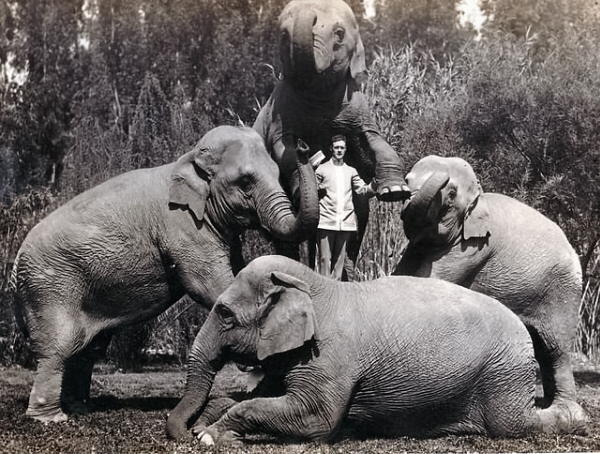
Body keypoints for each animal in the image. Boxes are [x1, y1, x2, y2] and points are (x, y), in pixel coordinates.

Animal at [12, 124, 318, 422]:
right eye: (245, 182)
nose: (302, 145)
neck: (187, 159)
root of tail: (14, 268)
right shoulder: (183, 227)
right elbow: (208, 284)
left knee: (87, 348)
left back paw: (80, 408)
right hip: (50, 288)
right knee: (59, 347)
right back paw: (51, 418)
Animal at [166, 255, 580, 444]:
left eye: (224, 314)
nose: (184, 432)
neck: (315, 283)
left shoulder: (330, 357)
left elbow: (317, 420)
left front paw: (210, 436)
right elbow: (261, 394)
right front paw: (206, 424)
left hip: (502, 373)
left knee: (513, 425)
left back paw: (574, 416)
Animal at [253, 0, 412, 274]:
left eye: (339, 33)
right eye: (283, 35)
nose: (309, 148)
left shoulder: (358, 106)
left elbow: (374, 140)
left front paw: (395, 191)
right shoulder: (280, 113)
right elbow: (283, 150)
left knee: (358, 224)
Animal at [394, 155, 584, 432]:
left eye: (451, 194)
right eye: (406, 183)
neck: (478, 198)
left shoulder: (474, 246)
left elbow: (434, 279)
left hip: (562, 291)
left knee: (555, 348)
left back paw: (565, 411)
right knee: (541, 347)